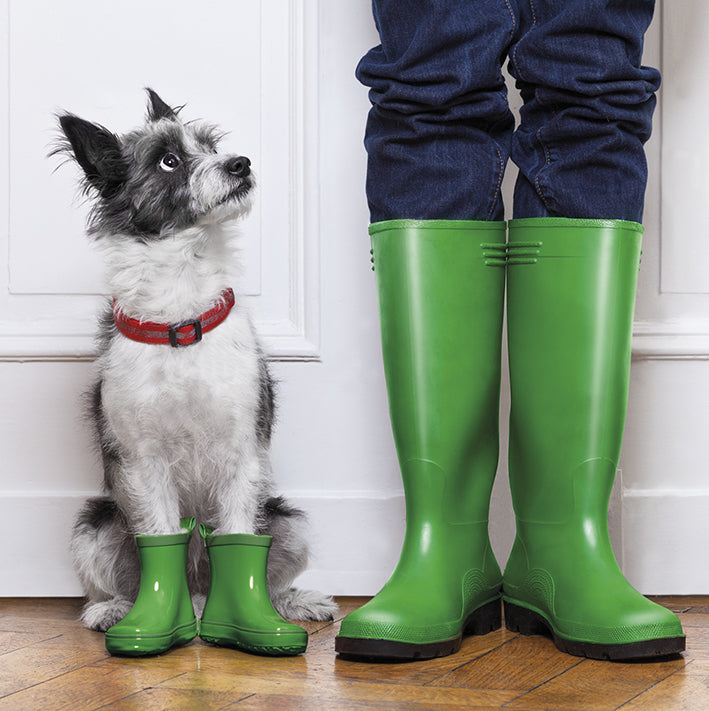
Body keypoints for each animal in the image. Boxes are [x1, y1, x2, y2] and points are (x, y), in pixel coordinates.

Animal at [52, 90, 334, 636]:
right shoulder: (143, 462)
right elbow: (160, 533)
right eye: (169, 161)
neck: (180, 310)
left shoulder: (241, 455)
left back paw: (291, 604)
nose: (241, 164)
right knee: (122, 578)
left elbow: (241, 535)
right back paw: (115, 609)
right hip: (94, 526)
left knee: (270, 574)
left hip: (289, 522)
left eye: (211, 145)